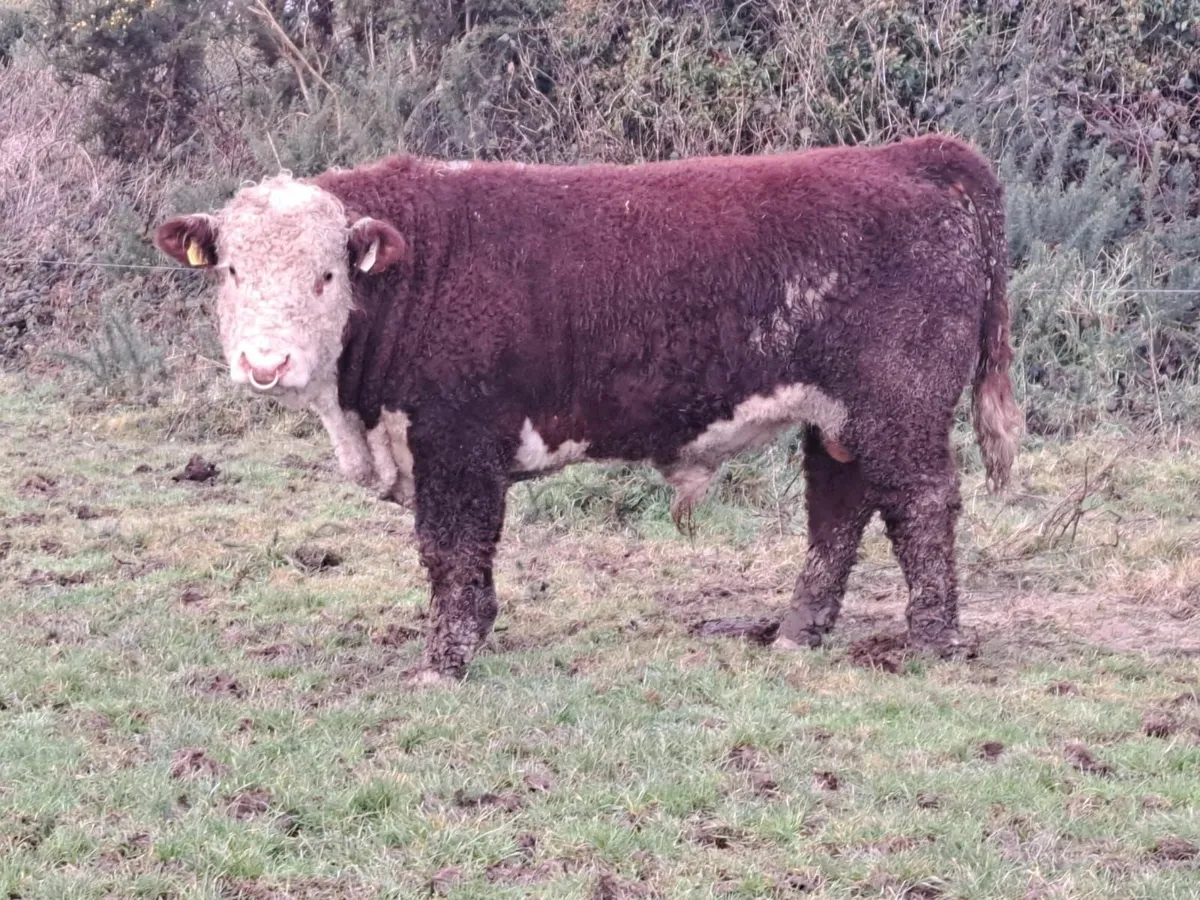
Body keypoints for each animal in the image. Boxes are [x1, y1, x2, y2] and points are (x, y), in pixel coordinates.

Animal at [154, 133, 1022, 682]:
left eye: (327, 276)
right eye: (231, 269)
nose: (266, 363)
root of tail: (911, 156)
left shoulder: (459, 439)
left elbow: (451, 546)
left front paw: (446, 659)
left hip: (899, 405)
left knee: (923, 504)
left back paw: (932, 642)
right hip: (838, 417)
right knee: (839, 510)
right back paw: (794, 634)